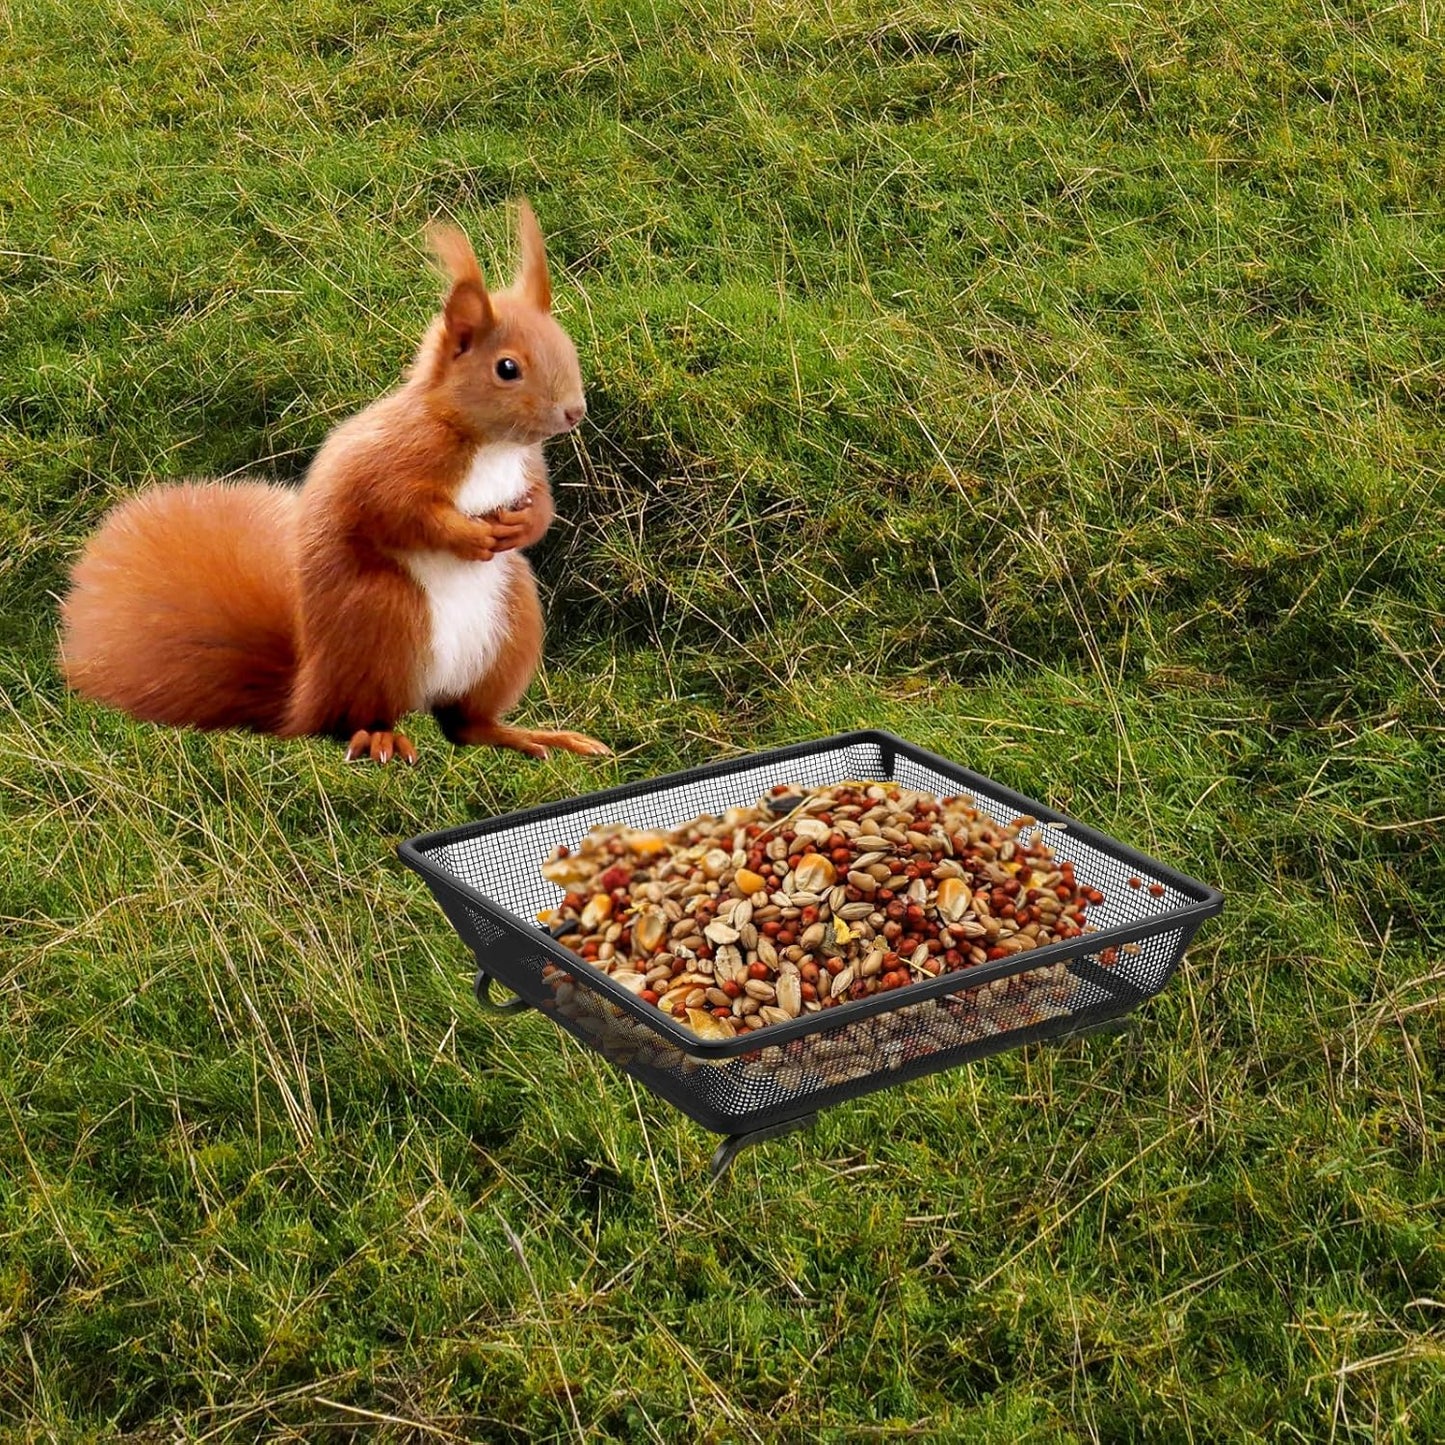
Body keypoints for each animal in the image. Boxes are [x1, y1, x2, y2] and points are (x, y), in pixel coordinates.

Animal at [59, 201, 608, 766]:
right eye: (507, 368)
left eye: (565, 345)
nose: (575, 412)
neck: (489, 443)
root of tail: (305, 696)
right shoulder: (393, 462)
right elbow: (402, 512)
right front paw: (468, 535)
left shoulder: (527, 467)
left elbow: (542, 504)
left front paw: (522, 526)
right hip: (386, 619)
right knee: (363, 717)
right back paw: (383, 738)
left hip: (510, 623)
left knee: (467, 725)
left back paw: (533, 736)